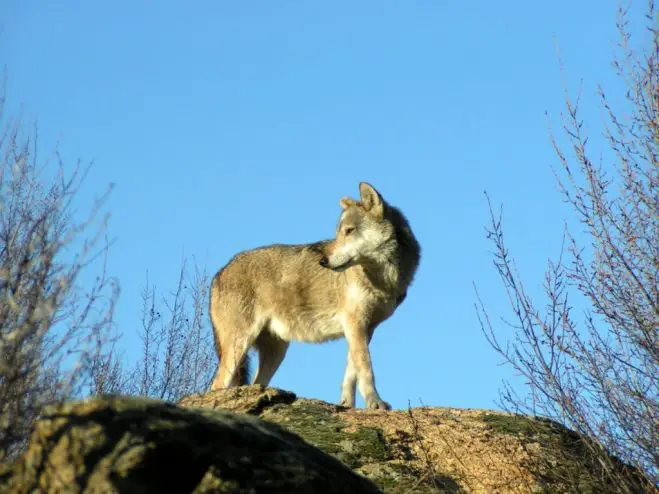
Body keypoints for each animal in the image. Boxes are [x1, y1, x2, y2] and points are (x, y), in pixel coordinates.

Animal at [209, 181, 420, 410]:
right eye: (338, 233)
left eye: (349, 231)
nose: (323, 261)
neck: (383, 279)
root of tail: (219, 272)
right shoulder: (354, 323)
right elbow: (366, 369)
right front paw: (375, 403)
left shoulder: (364, 328)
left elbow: (351, 373)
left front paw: (346, 405)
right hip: (240, 345)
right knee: (216, 385)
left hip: (276, 351)